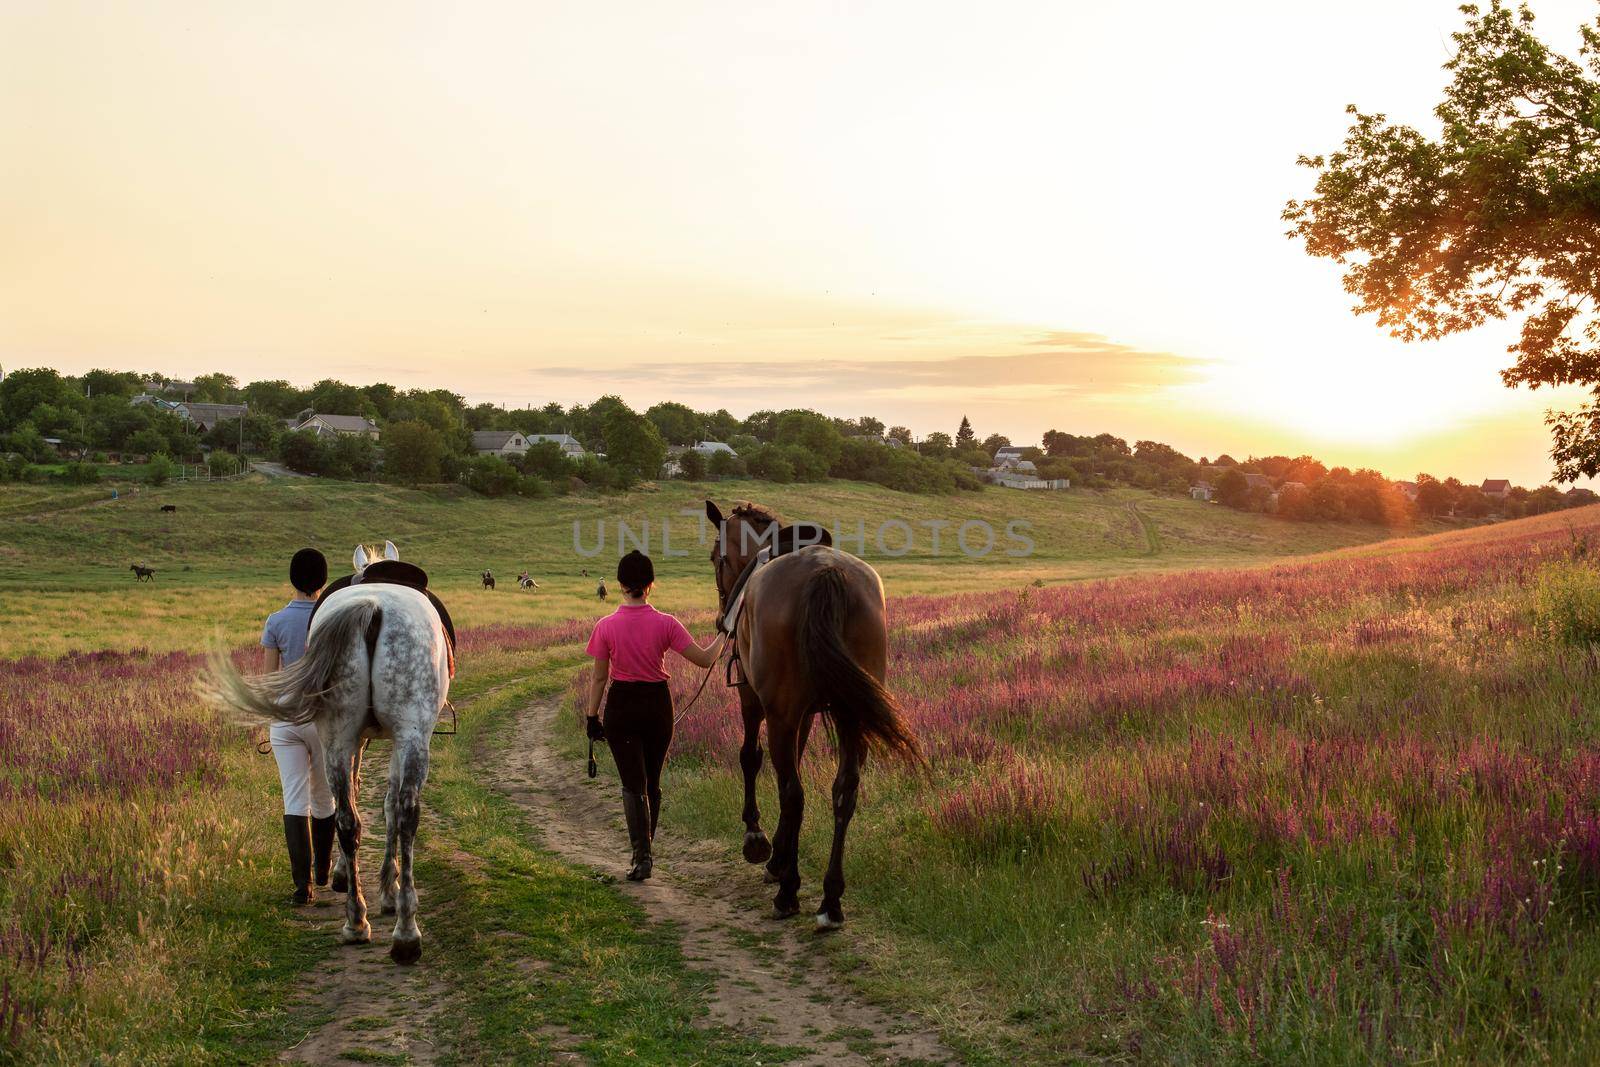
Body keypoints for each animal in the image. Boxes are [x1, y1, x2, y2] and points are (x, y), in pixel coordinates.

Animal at [208, 547, 451, 966]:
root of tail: (373, 607)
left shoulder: (365, 739)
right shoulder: (386, 740)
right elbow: (387, 804)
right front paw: (387, 890)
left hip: (338, 738)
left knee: (347, 820)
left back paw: (357, 922)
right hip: (409, 734)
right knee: (402, 815)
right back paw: (404, 931)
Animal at [704, 502, 921, 927]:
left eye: (714, 557)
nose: (722, 616)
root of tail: (826, 573)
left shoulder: (757, 701)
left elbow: (753, 759)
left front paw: (760, 842)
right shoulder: (801, 715)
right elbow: (793, 768)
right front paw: (779, 854)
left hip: (782, 713)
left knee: (794, 794)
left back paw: (789, 892)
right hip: (851, 715)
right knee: (843, 792)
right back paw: (830, 900)